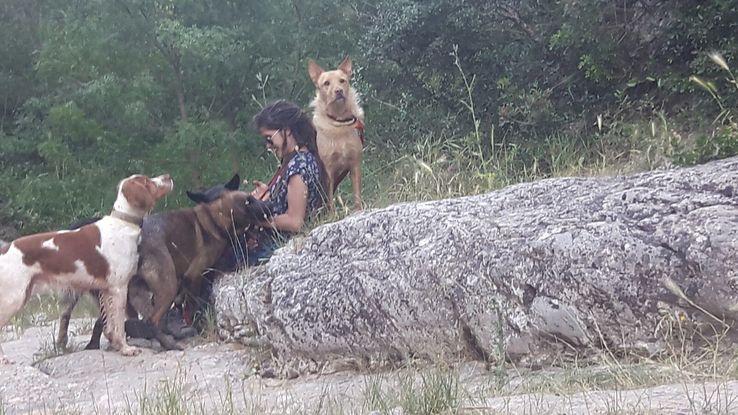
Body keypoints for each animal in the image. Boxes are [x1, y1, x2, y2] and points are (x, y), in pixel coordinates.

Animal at [0, 174, 172, 362]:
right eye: (147, 181)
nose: (168, 176)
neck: (123, 223)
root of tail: (4, 249)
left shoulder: (106, 290)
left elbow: (109, 325)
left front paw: (117, 346)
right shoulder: (118, 288)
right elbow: (119, 325)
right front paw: (126, 349)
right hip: (14, 297)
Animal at [306, 55, 364, 211]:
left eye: (342, 81)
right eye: (326, 83)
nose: (338, 91)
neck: (339, 123)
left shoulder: (355, 165)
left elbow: (357, 195)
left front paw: (359, 210)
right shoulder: (329, 172)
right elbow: (331, 201)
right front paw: (332, 214)